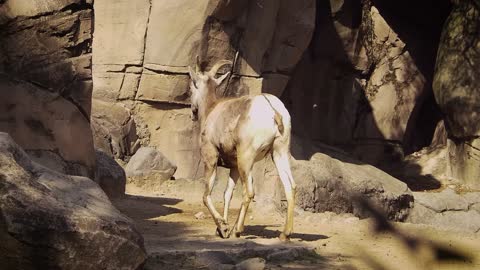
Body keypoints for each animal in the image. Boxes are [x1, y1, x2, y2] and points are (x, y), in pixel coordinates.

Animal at [188, 58, 296, 242]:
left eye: (191, 86)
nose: (193, 112)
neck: (212, 110)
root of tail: (273, 110)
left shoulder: (210, 158)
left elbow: (206, 195)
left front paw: (223, 228)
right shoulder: (234, 168)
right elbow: (227, 194)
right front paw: (222, 228)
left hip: (246, 158)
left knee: (250, 192)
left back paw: (237, 231)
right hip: (278, 153)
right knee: (290, 186)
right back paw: (284, 234)